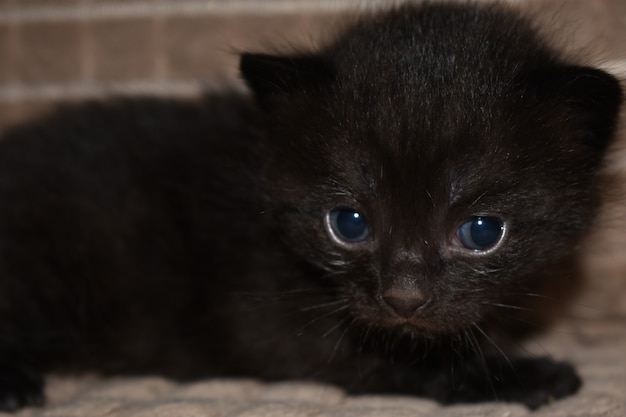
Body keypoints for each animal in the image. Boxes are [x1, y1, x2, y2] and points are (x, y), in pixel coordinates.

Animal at [0, 1, 620, 412]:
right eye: (349, 223)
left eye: (483, 232)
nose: (403, 298)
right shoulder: (271, 318)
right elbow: (390, 359)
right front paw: (521, 375)